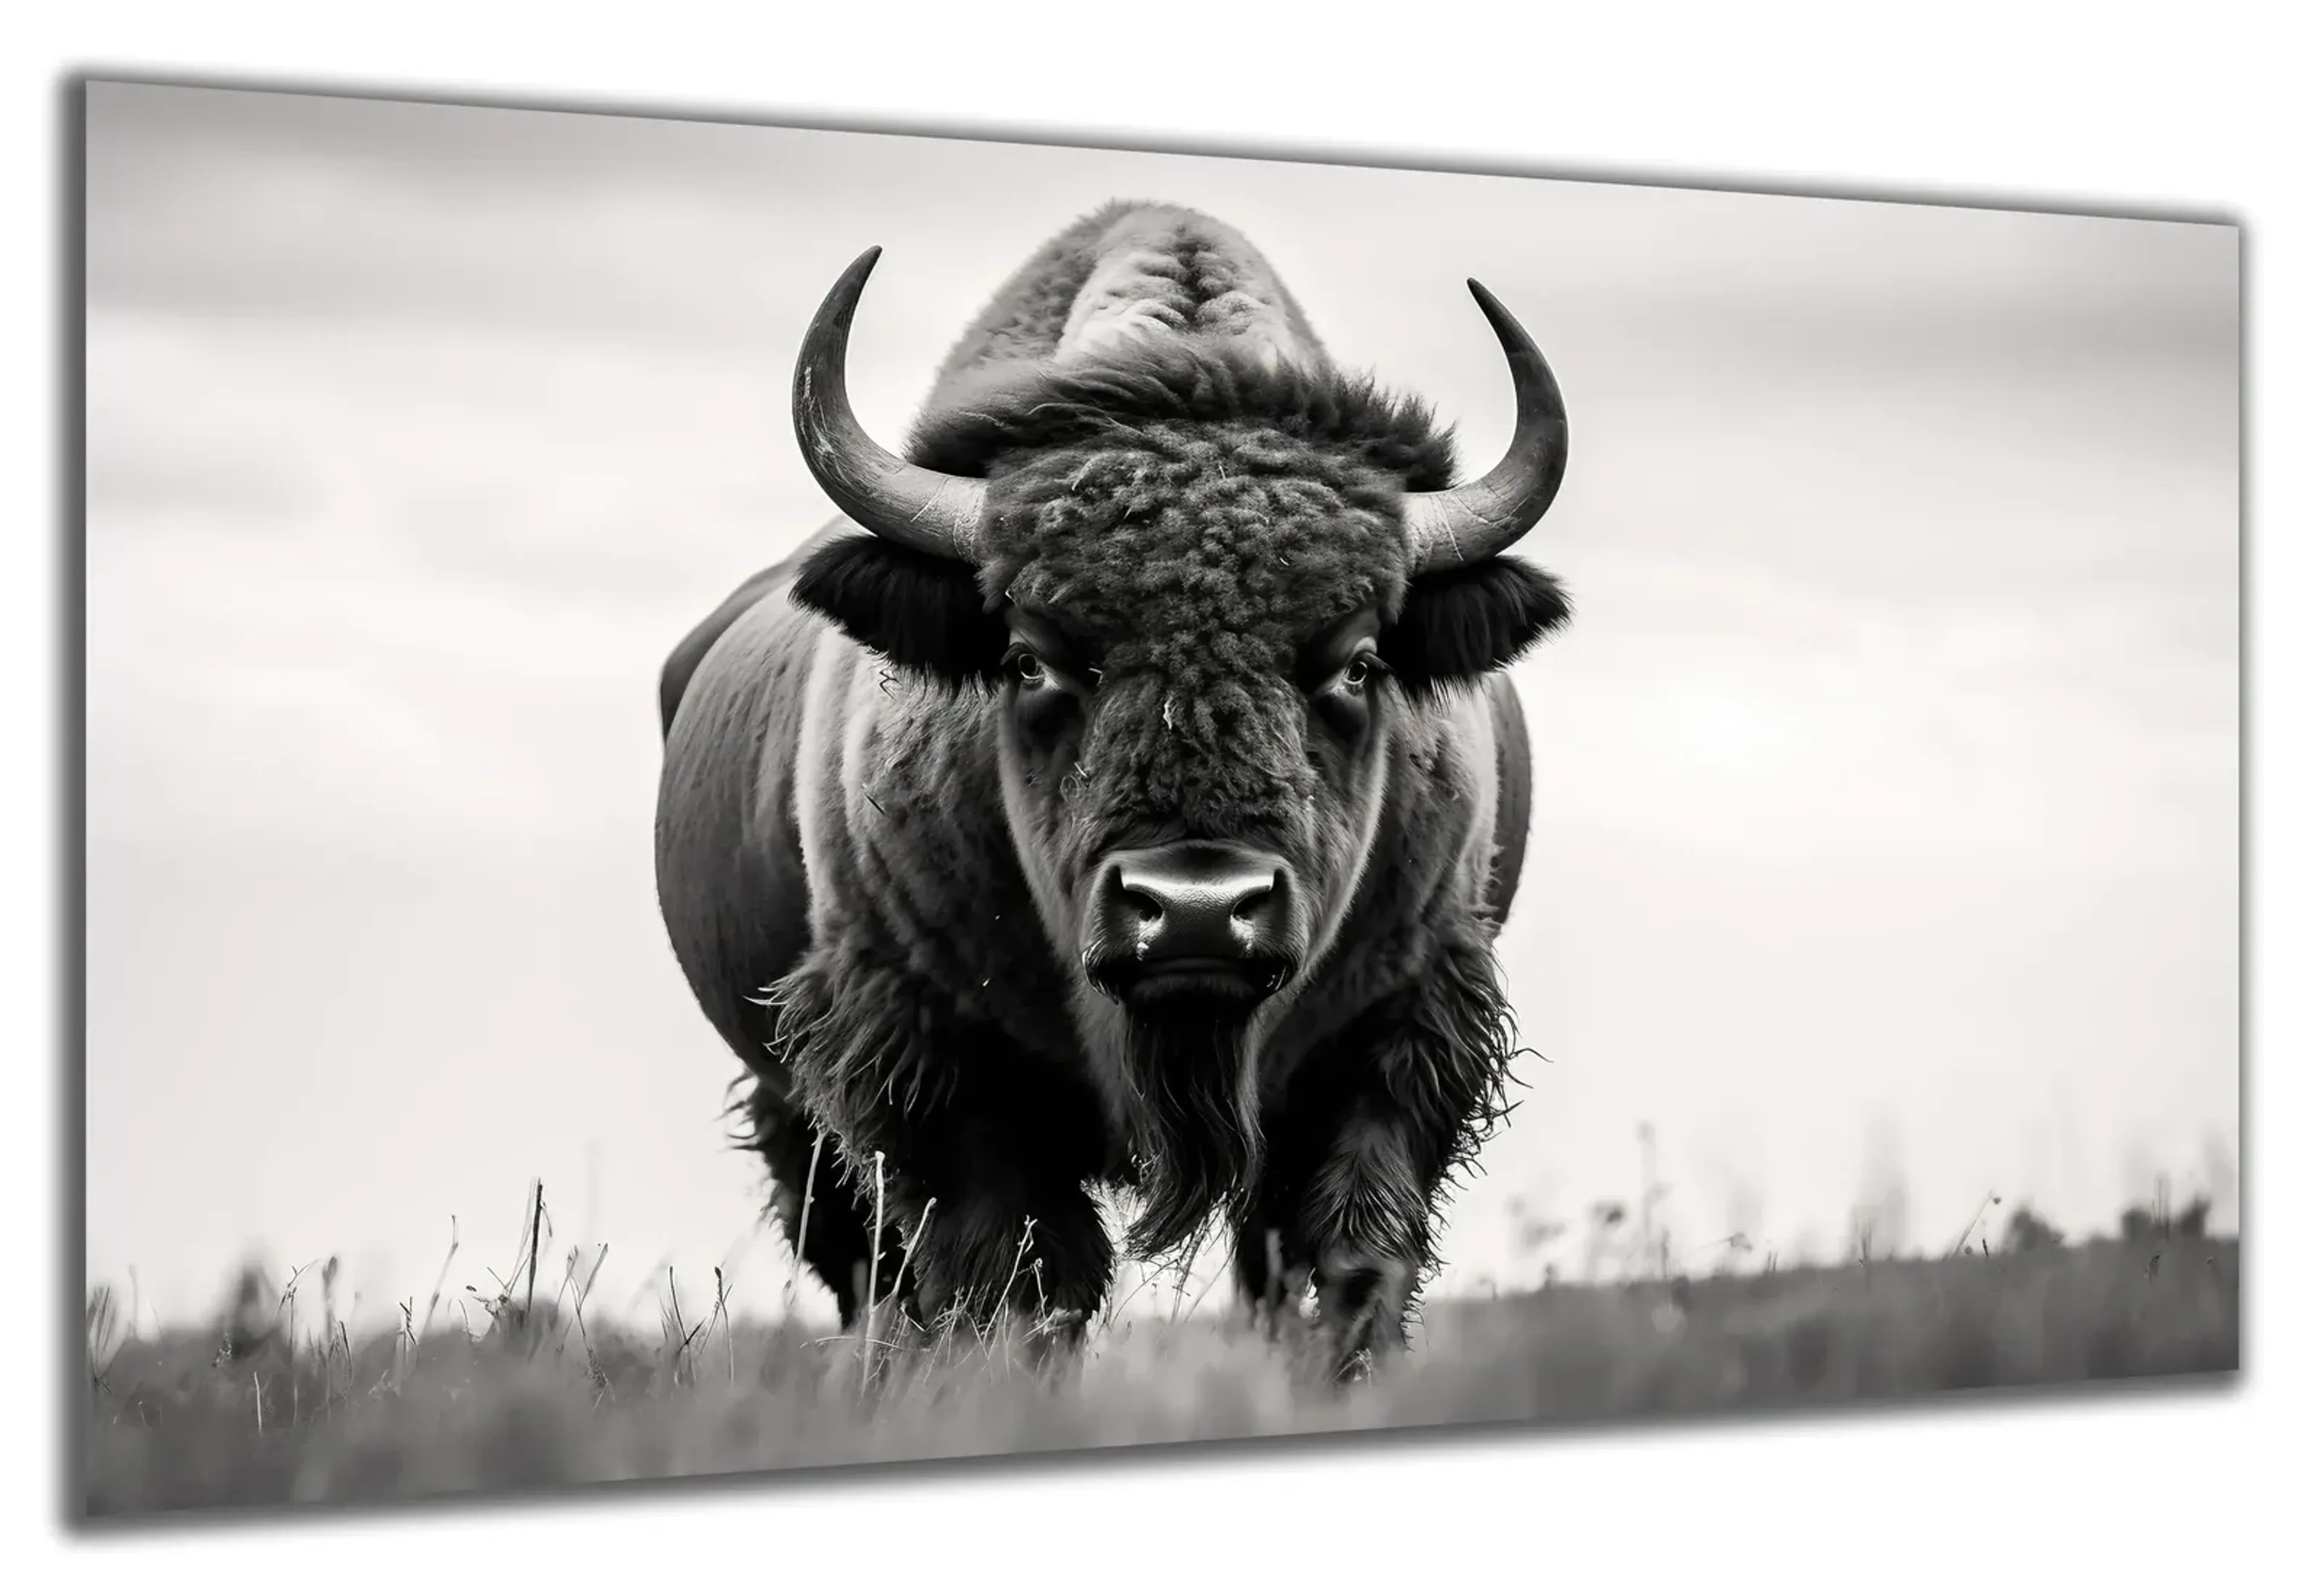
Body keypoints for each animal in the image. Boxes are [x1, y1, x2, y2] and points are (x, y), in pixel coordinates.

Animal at [655, 202, 1571, 1375]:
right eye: (1031, 657)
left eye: (1360, 662)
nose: (1197, 910)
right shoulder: (933, 1056)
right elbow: (1012, 1274)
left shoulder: (1399, 1033)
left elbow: (1352, 1253)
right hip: (794, 1108)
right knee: (868, 1272)